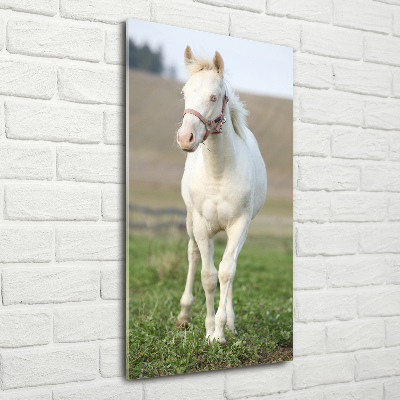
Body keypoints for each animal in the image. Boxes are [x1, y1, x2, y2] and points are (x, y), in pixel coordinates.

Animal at [176, 45, 268, 342]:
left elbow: (227, 272)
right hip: (191, 222)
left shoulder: (239, 225)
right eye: (184, 93)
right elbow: (207, 275)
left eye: (214, 96)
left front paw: (220, 330)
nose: (185, 138)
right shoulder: (202, 225)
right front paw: (207, 330)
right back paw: (184, 315)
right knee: (194, 256)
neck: (218, 173)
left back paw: (230, 322)